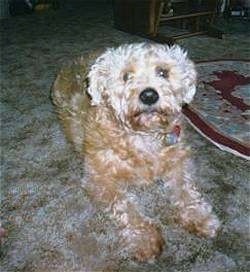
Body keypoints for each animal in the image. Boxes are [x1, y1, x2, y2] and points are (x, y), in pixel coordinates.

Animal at [51, 43, 220, 262]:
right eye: (126, 76)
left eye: (163, 72)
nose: (149, 95)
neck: (143, 137)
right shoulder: (99, 179)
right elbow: (125, 206)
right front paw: (144, 238)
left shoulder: (180, 162)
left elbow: (187, 190)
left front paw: (199, 216)